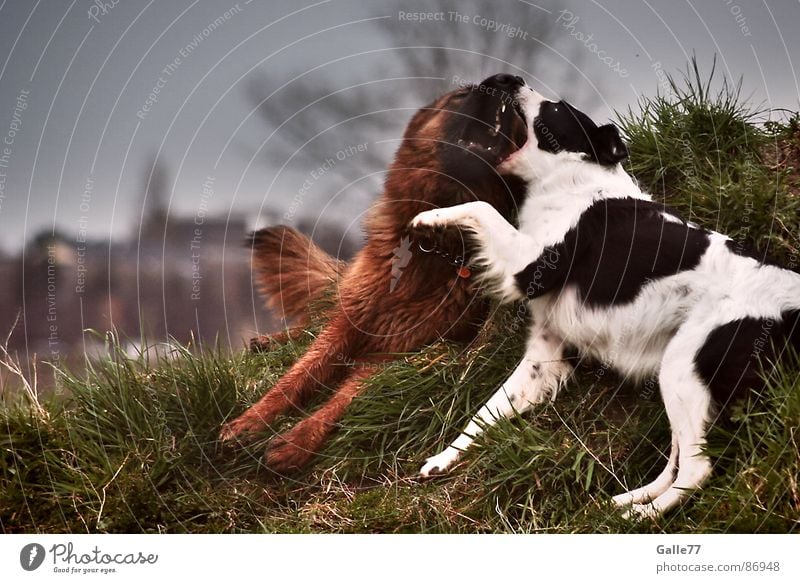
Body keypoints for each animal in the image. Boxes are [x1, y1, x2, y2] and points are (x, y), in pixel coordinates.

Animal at [222, 74, 528, 474]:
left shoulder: (401, 353)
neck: (432, 247)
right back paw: (271, 341)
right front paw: (251, 420)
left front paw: (296, 440)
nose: (509, 80)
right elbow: (299, 373)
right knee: (317, 321)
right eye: (462, 94)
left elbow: (347, 395)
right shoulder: (350, 323)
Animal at [412, 80, 800, 516]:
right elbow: (484, 413)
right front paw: (442, 460)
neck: (572, 181)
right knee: (677, 460)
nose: (509, 79)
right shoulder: (546, 353)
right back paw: (625, 501)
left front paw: (428, 220)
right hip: (678, 375)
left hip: (683, 366)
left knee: (696, 469)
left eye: (555, 107)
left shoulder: (531, 267)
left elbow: (479, 206)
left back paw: (641, 516)